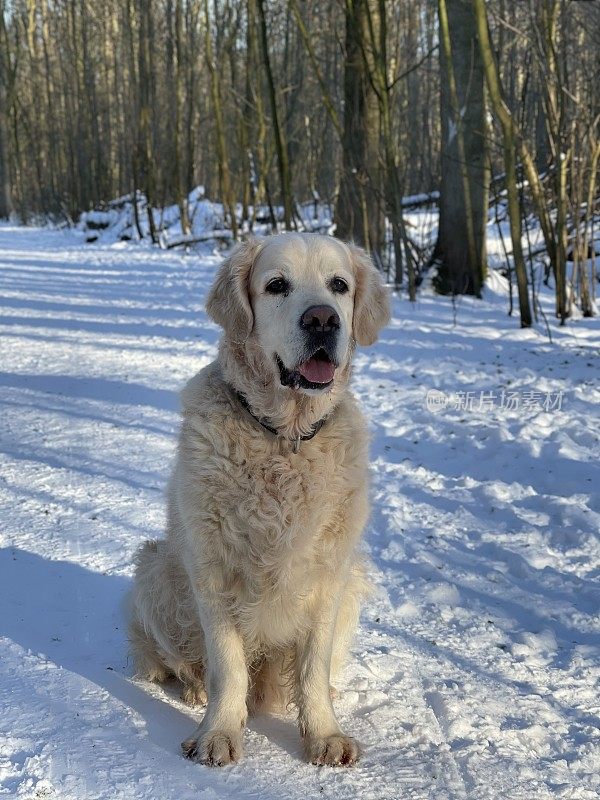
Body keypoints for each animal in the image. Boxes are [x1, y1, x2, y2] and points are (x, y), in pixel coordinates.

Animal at [128, 228, 390, 764]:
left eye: (338, 285)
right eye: (276, 286)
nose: (322, 319)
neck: (284, 439)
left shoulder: (329, 574)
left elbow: (312, 667)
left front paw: (324, 733)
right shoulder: (211, 569)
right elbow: (227, 664)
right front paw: (219, 733)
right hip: (156, 570)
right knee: (174, 658)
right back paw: (195, 689)